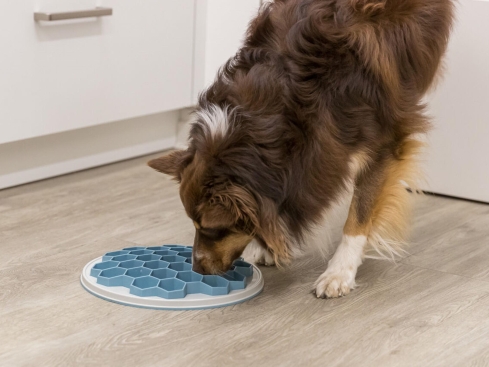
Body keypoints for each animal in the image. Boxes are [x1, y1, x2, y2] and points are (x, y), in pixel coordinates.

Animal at [149, 0, 454, 300]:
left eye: (212, 229)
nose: (197, 270)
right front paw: (265, 246)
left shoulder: (383, 144)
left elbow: (358, 216)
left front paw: (339, 273)